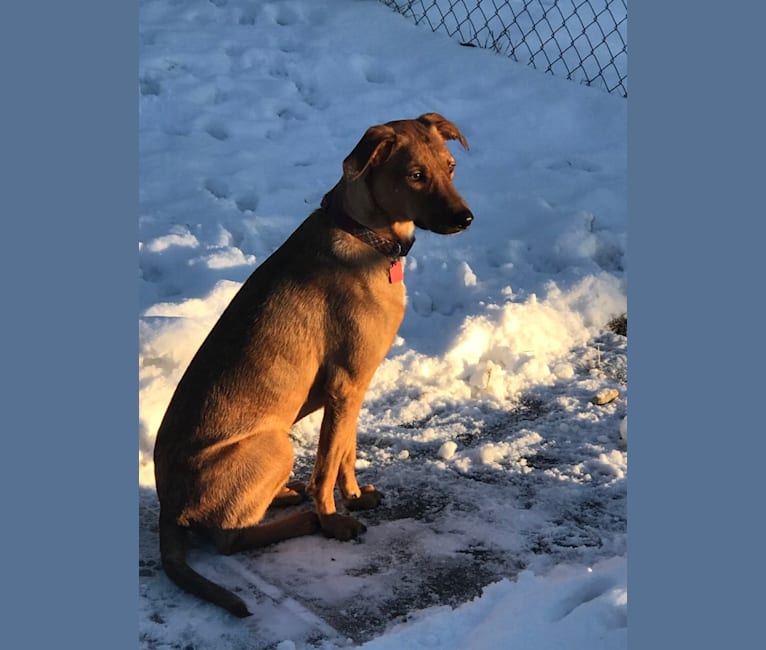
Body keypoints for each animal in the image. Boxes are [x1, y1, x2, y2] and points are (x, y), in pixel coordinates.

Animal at [153, 114, 474, 616]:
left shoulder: (357, 387)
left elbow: (344, 452)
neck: (365, 234)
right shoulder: (346, 385)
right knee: (229, 538)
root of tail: (168, 506)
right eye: (416, 175)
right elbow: (326, 465)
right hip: (274, 445)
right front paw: (333, 521)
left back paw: (288, 494)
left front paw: (355, 498)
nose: (466, 218)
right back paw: (303, 518)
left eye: (451, 166)